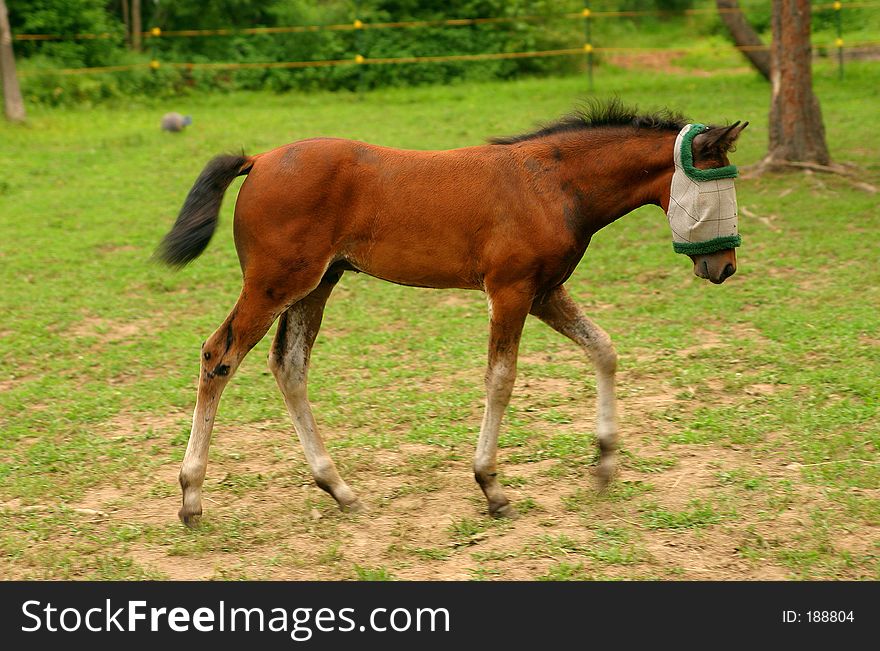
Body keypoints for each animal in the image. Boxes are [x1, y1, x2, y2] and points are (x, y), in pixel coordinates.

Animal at [155, 99, 744, 524]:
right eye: (720, 189)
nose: (724, 267)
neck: (550, 184)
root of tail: (259, 160)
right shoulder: (510, 291)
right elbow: (501, 379)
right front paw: (491, 486)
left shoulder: (545, 291)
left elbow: (603, 349)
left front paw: (604, 463)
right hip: (275, 285)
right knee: (219, 355)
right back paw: (191, 496)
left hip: (316, 285)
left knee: (289, 366)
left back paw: (339, 489)